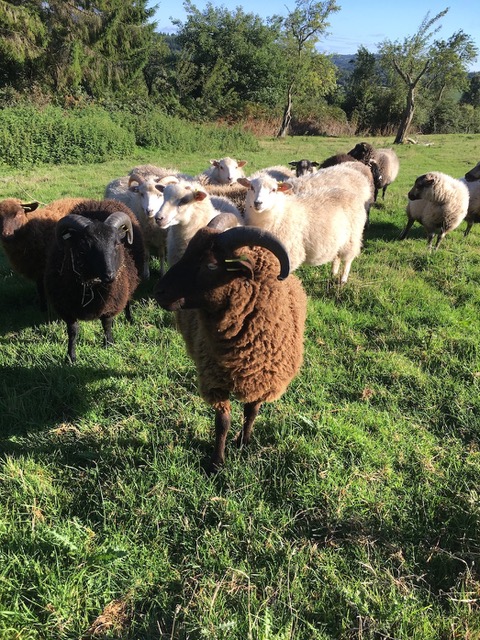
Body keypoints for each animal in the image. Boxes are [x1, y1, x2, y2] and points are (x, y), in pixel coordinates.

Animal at [46, 198, 145, 362]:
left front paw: (108, 344)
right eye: (84, 246)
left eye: (117, 243)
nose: (110, 275)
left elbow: (107, 324)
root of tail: (99, 201)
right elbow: (73, 331)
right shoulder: (66, 309)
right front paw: (71, 356)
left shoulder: (111, 304)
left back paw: (130, 318)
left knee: (128, 301)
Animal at [154, 224, 308, 470]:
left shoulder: (262, 379)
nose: (158, 292)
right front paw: (217, 463)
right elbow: (222, 423)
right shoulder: (215, 381)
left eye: (211, 265)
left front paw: (243, 442)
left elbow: (251, 413)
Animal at [240, 172, 368, 282]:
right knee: (337, 257)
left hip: (352, 237)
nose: (258, 203)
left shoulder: (290, 254)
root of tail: (351, 194)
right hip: (339, 241)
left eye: (274, 190)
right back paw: (333, 273)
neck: (279, 214)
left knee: (348, 259)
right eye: (251, 187)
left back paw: (342, 280)